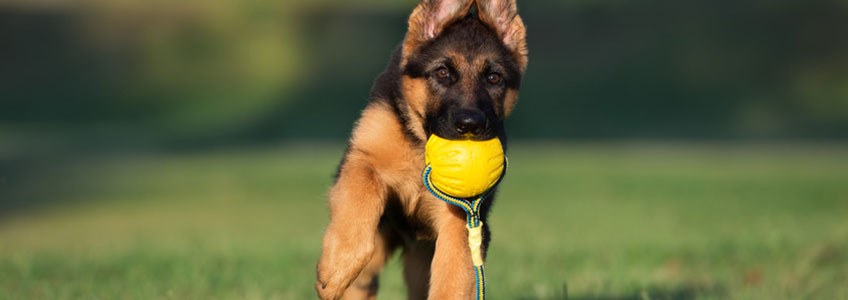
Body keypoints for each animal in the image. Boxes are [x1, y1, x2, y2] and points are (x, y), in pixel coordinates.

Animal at [316, 1, 528, 298]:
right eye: (442, 73)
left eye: (494, 78)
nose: (470, 125)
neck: (420, 146)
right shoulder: (362, 159)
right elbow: (362, 195)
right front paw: (336, 268)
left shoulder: (461, 222)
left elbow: (452, 281)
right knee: (363, 278)